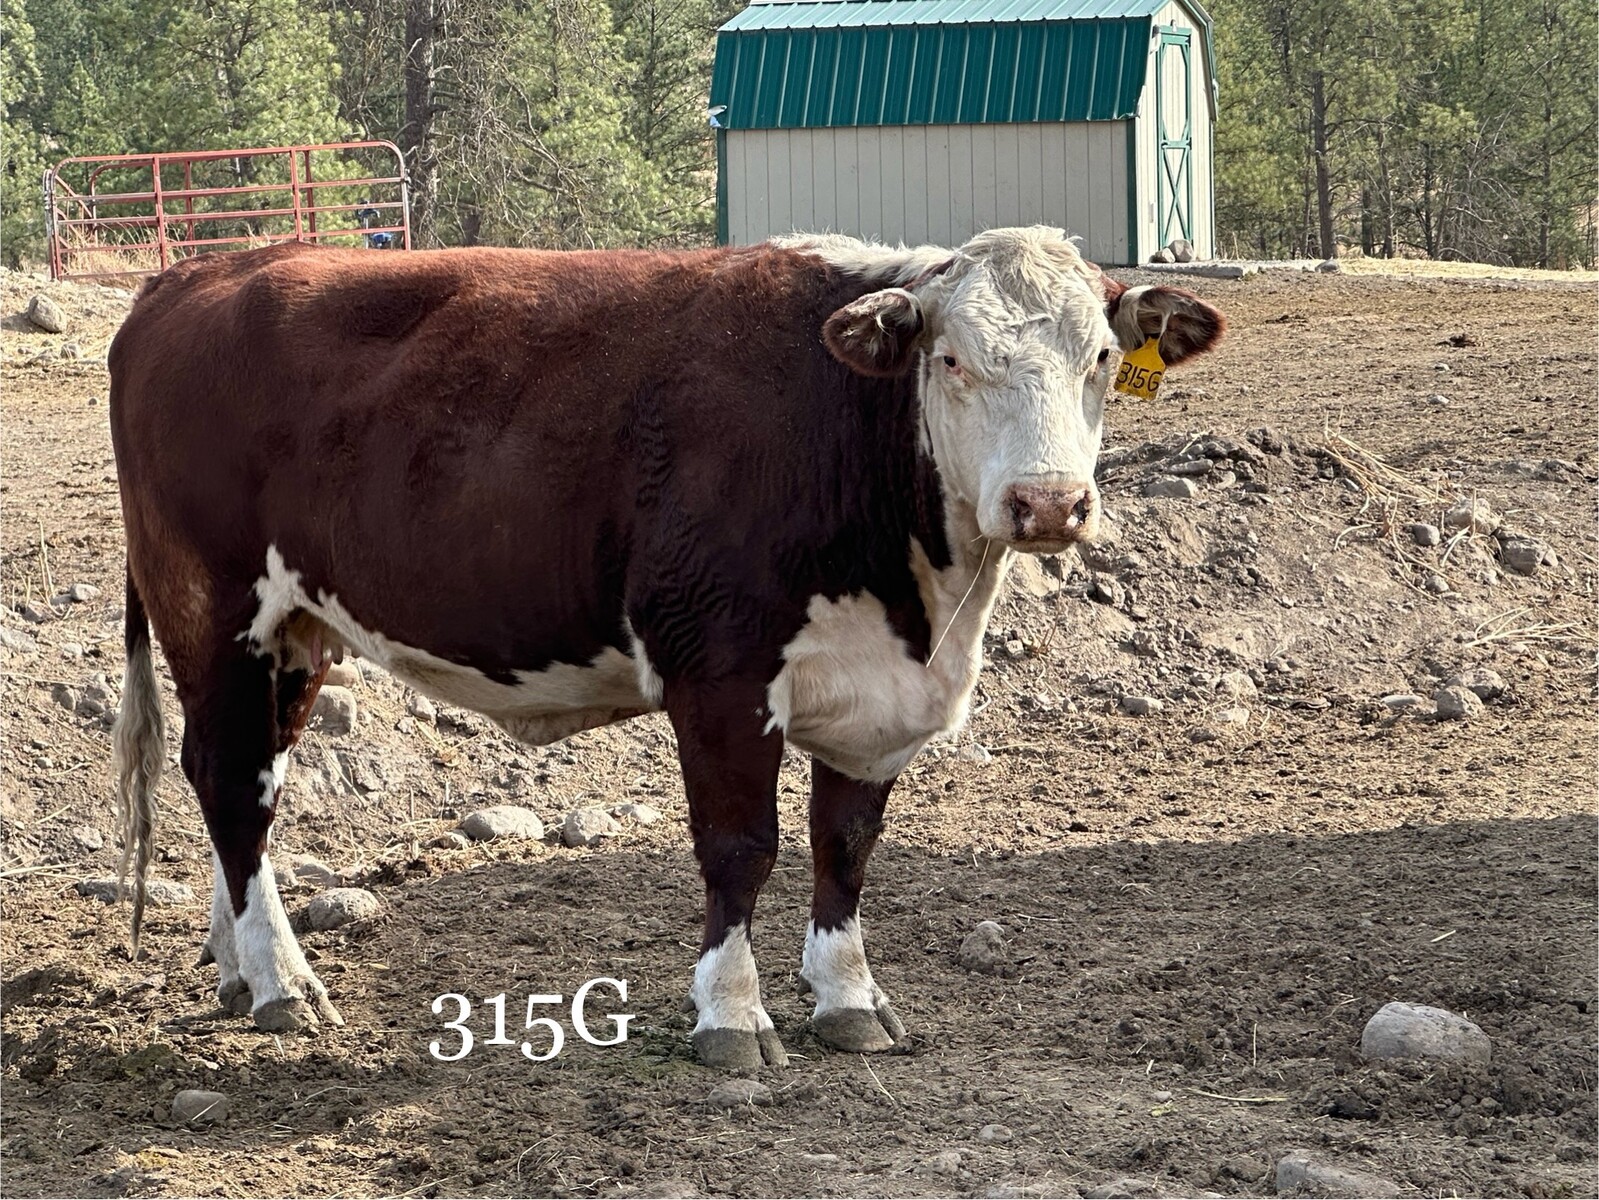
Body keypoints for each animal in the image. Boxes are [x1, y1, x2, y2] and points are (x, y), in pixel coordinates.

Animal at [108, 228, 1223, 1069]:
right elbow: (741, 849)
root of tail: (192, 276)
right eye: (950, 360)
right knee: (229, 780)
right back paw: (283, 982)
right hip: (214, 607)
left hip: (297, 631)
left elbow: (845, 846)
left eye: (1101, 359)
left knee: (243, 779)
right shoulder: (719, 672)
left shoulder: (875, 701)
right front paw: (732, 1015)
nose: (1048, 503)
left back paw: (236, 963)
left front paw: (848, 1001)